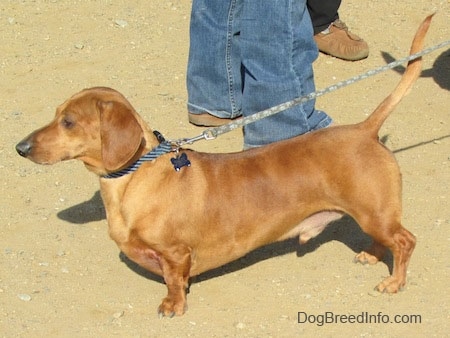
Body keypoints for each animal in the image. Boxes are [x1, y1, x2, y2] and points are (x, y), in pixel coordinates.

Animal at [16, 15, 432, 316]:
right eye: (56, 114)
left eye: (69, 121)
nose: (20, 147)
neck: (135, 178)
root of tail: (364, 129)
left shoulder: (175, 253)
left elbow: (173, 280)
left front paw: (173, 305)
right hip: (372, 214)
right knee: (387, 238)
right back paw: (372, 255)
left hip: (373, 212)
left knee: (405, 241)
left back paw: (394, 282)